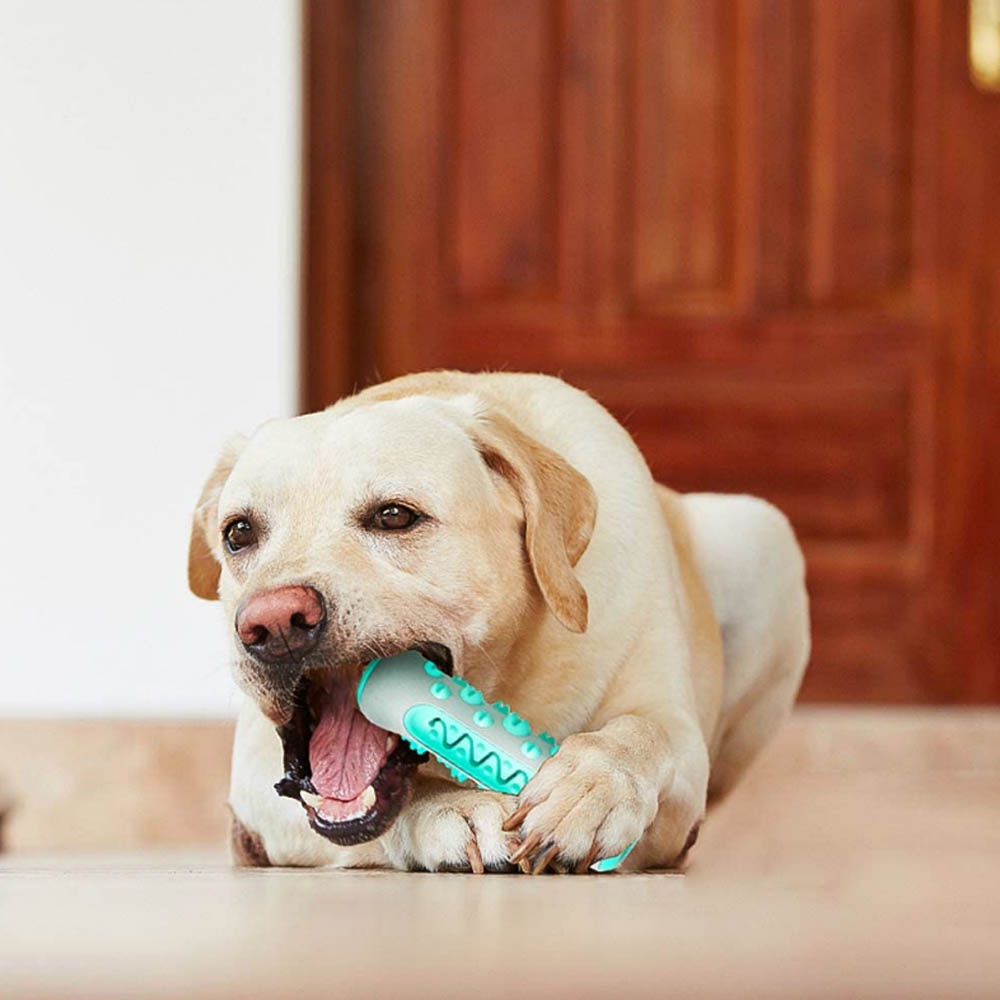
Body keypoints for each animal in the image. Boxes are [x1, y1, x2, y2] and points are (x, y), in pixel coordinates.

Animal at [189, 372, 812, 872]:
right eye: (239, 532)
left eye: (394, 516)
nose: (273, 623)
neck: (511, 677)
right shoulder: (254, 779)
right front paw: (455, 809)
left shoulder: (674, 728)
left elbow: (641, 733)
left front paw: (593, 786)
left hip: (766, 536)